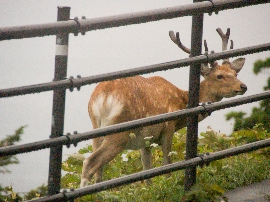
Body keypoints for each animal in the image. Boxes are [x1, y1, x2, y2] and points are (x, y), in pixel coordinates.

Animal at [79, 27, 247, 187]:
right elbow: (167, 162)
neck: (182, 103)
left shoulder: (145, 140)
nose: (243, 86)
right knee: (90, 162)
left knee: (98, 168)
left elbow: (146, 167)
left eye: (235, 73)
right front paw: (168, 183)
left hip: (96, 128)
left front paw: (148, 189)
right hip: (120, 131)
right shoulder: (168, 127)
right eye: (219, 76)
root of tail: (102, 97)